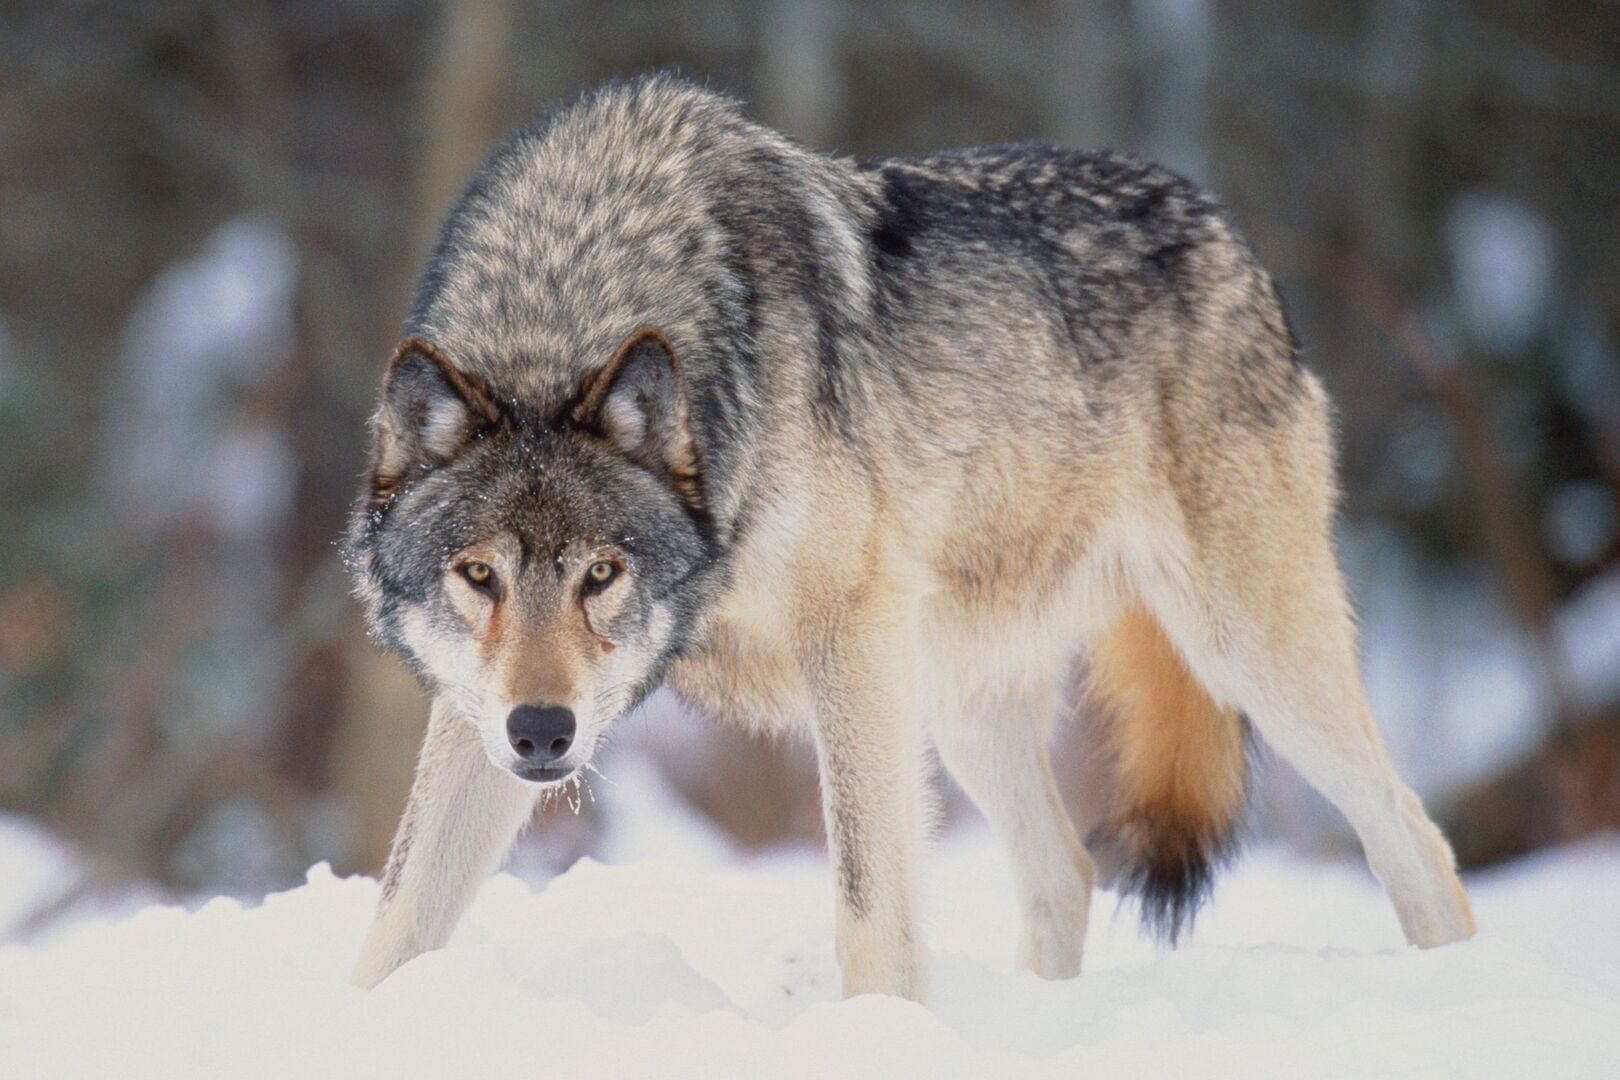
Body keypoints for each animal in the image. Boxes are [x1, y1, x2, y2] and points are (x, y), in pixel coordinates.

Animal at [345, 75, 1475, 999]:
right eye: (479, 575)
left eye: (602, 573)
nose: (543, 732)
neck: (575, 290)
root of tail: (1223, 224)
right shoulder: (474, 709)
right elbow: (396, 918)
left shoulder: (849, 638)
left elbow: (868, 910)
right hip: (960, 699)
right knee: (1067, 874)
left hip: (1244, 654)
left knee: (1418, 843)